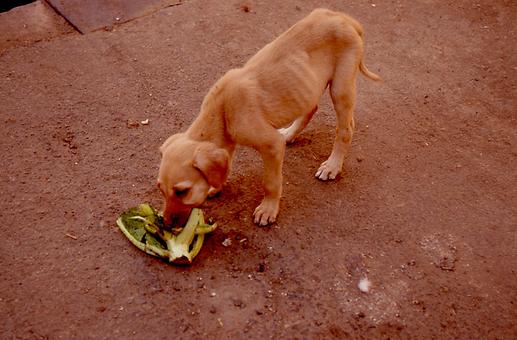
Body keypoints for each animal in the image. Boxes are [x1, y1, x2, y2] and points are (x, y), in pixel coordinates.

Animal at [157, 8, 378, 226]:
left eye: (182, 191)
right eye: (161, 189)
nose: (165, 223)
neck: (222, 109)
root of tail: (344, 17)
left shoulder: (271, 145)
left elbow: (270, 182)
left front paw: (268, 209)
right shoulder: (228, 141)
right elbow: (226, 164)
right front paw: (216, 186)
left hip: (341, 89)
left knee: (345, 129)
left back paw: (332, 166)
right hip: (308, 85)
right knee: (311, 107)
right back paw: (290, 134)